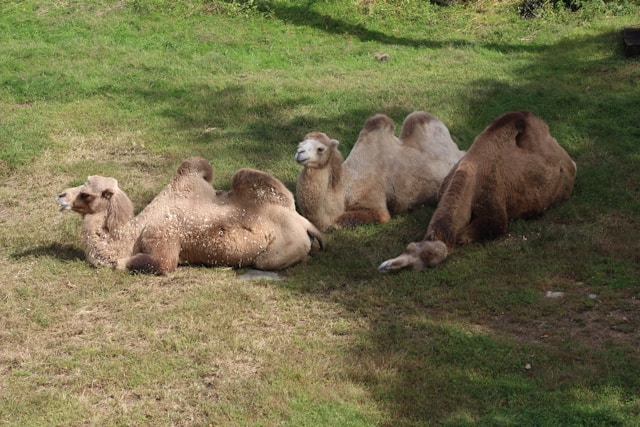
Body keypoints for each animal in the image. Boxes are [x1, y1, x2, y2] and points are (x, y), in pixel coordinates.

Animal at [56, 157, 325, 274]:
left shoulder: (159, 238)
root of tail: (305, 224)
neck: (130, 236)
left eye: (86, 194)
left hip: (274, 255)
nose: (60, 196)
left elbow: (153, 264)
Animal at [295, 111, 465, 231]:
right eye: (300, 144)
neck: (345, 188)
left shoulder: (375, 206)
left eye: (320, 148)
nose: (299, 153)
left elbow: (340, 221)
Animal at [378, 111, 577, 272]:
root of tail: (569, 162)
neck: (471, 171)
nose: (385, 267)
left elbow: (462, 236)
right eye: (408, 248)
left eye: (430, 262)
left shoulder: (495, 216)